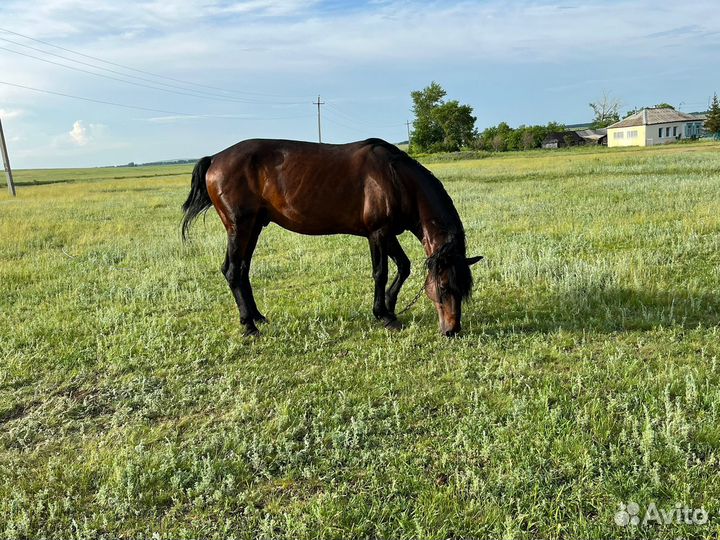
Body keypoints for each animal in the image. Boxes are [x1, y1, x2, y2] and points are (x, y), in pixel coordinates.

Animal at [183, 137, 480, 336]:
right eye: (444, 287)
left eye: (464, 289)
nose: (452, 330)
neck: (396, 178)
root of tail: (215, 159)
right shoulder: (378, 233)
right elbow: (381, 272)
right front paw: (383, 315)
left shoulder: (388, 233)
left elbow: (403, 267)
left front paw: (390, 307)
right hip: (239, 227)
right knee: (233, 271)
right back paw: (249, 326)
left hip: (254, 227)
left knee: (242, 270)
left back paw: (257, 317)